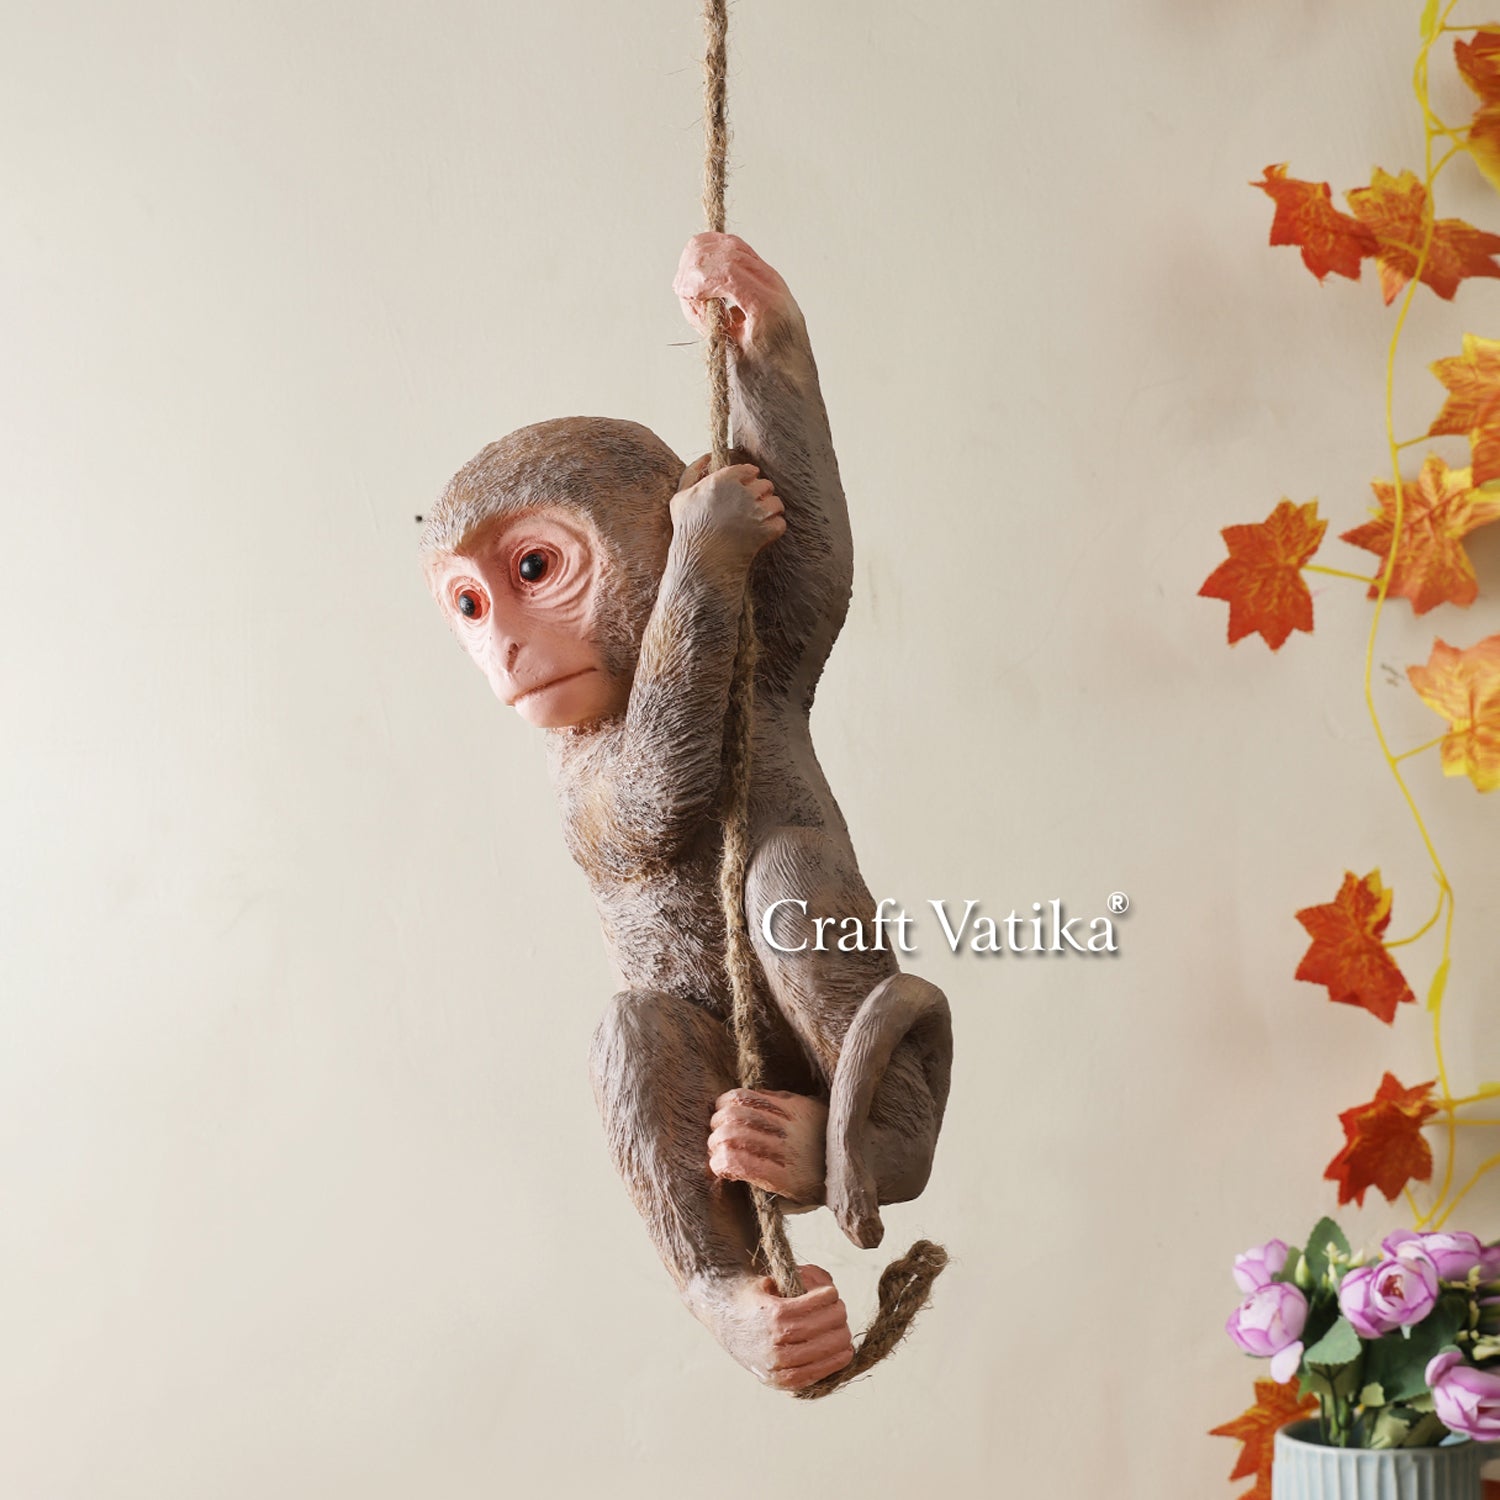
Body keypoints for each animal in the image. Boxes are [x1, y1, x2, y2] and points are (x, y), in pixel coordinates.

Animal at [419, 233, 953, 1392]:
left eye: (535, 568)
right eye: (469, 604)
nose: (504, 649)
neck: (616, 685)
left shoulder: (774, 657)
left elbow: (823, 567)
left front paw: (752, 303)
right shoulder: (572, 782)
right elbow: (651, 808)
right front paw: (706, 535)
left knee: (788, 873)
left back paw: (875, 1149)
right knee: (638, 1026)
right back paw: (748, 1305)